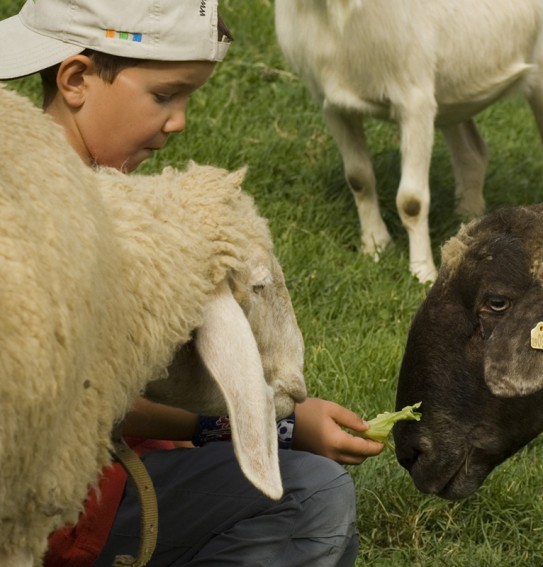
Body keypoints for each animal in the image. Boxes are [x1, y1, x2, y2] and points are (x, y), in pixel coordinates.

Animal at [276, 0, 543, 282]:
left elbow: (411, 201)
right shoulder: (333, 105)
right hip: (453, 97)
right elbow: (359, 179)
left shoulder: (415, 102)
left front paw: (422, 273)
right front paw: (375, 246)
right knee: (472, 153)